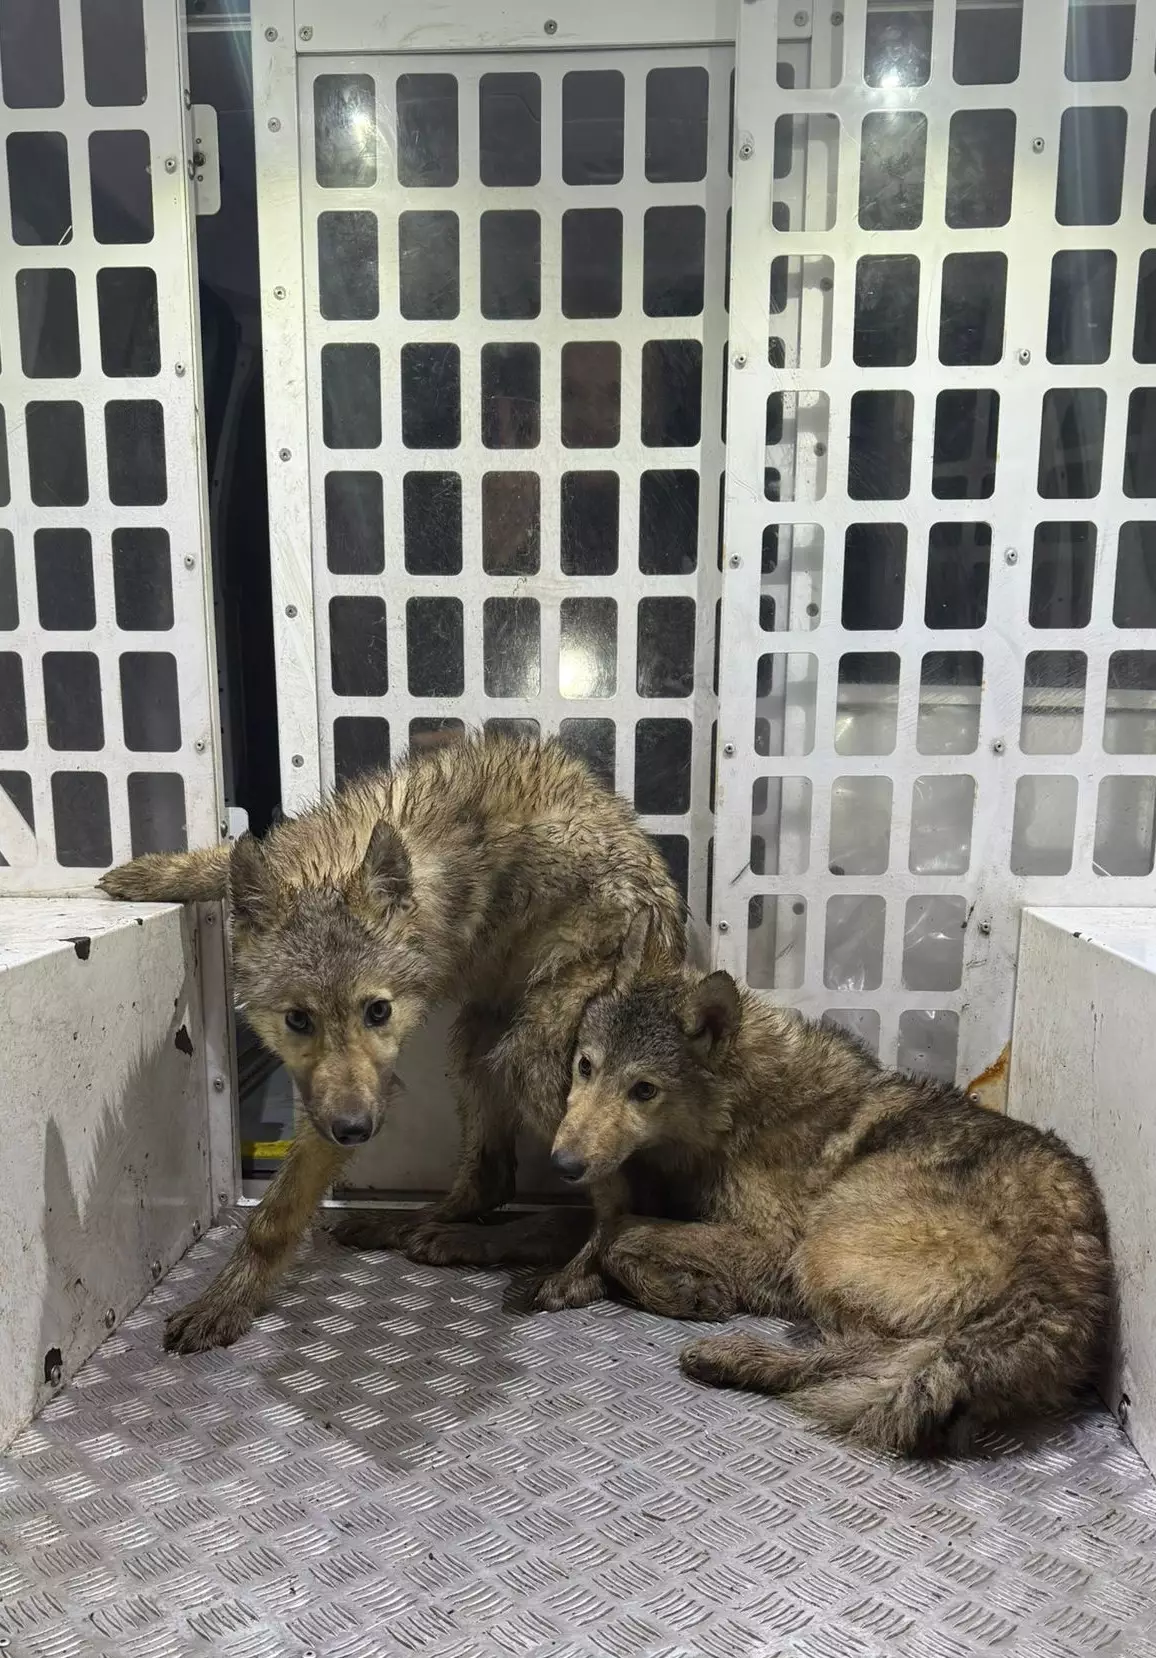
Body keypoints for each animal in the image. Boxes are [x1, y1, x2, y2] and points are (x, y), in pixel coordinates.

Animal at [99, 734, 684, 1351]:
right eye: (298, 1019)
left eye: (377, 1011)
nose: (355, 1130)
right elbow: (229, 856)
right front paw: (152, 874)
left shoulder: (348, 1103)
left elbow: (274, 1216)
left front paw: (225, 1301)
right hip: (476, 1044)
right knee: (488, 1180)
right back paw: (413, 1227)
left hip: (533, 1062)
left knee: (618, 1194)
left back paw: (579, 1272)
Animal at [546, 918, 1112, 1455]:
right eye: (585, 1066)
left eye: (644, 1090)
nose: (562, 1164)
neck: (739, 1108)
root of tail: (1056, 1288)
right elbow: (612, 1230)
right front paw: (578, 1278)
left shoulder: (775, 1249)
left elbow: (623, 1232)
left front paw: (681, 1290)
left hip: (821, 1251)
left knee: (871, 1354)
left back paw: (737, 1357)